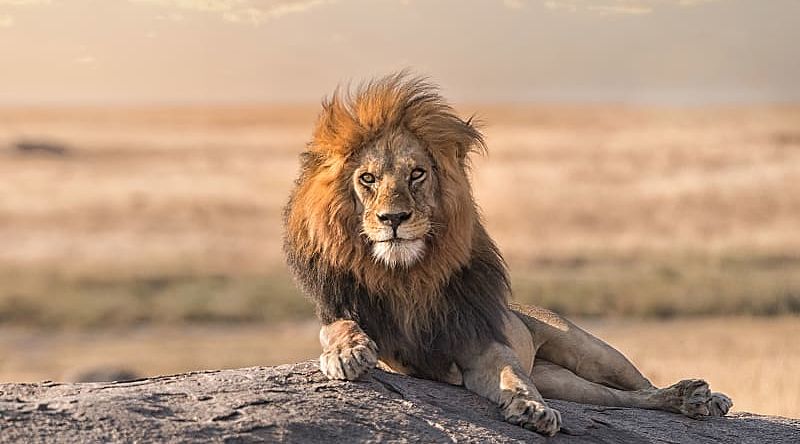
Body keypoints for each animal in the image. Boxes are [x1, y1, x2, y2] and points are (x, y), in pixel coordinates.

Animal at [284, 73, 736, 438]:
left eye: (417, 174)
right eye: (368, 179)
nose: (393, 218)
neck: (407, 274)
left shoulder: (480, 341)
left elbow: (511, 375)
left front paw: (532, 408)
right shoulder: (365, 328)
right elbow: (338, 327)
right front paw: (347, 353)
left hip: (589, 352)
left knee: (638, 387)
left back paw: (701, 398)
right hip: (565, 383)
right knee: (616, 400)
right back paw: (691, 400)